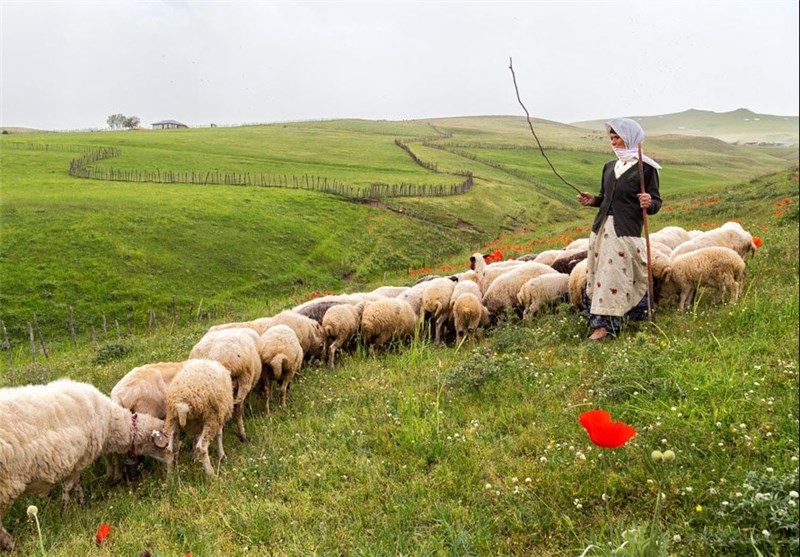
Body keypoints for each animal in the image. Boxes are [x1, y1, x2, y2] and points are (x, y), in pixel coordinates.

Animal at [0, 378, 169, 552]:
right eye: (163, 444)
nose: (172, 464)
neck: (110, 422)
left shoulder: (78, 462)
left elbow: (77, 484)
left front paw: (80, 503)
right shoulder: (77, 461)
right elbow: (69, 487)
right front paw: (66, 510)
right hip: (5, 486)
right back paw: (11, 545)